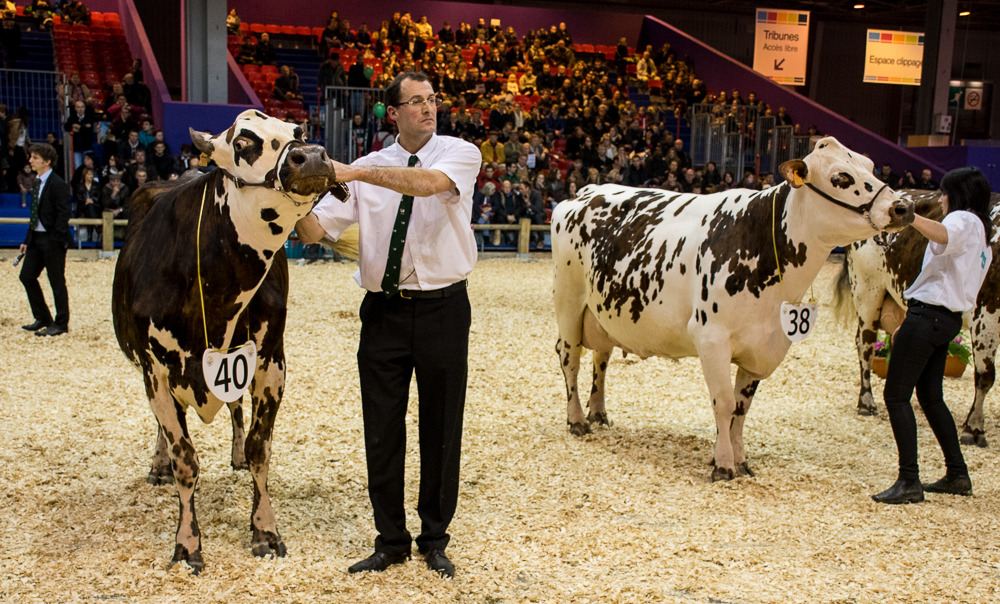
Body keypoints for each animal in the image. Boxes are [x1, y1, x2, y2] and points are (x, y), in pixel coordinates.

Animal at [112, 111, 348, 572]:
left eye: (299, 133)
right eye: (243, 142)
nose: (311, 156)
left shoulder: (269, 361)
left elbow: (260, 449)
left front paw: (265, 531)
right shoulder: (156, 371)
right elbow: (185, 459)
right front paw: (187, 544)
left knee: (235, 410)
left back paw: (233, 454)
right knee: (165, 430)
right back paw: (158, 463)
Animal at [552, 137, 916, 482]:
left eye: (870, 165)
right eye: (841, 177)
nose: (903, 207)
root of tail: (585, 191)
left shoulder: (764, 346)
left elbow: (742, 408)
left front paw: (740, 461)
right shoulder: (710, 337)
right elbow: (724, 403)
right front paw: (723, 465)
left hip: (603, 311)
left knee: (601, 357)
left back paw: (599, 412)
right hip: (569, 303)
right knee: (570, 357)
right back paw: (577, 420)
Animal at [832, 191, 1000, 446]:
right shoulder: (986, 313)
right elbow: (985, 376)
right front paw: (973, 428)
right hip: (866, 289)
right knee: (865, 344)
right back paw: (866, 402)